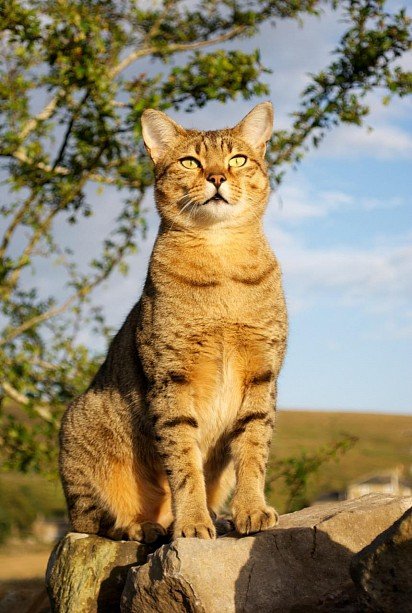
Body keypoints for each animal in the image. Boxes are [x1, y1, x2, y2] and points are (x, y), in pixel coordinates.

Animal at [59, 103, 288, 544]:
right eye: (190, 162)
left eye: (237, 160)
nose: (216, 177)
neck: (221, 260)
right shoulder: (171, 377)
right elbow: (183, 461)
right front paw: (193, 522)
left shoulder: (262, 373)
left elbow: (253, 448)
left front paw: (251, 509)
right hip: (79, 429)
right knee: (94, 523)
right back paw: (148, 525)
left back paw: (212, 516)